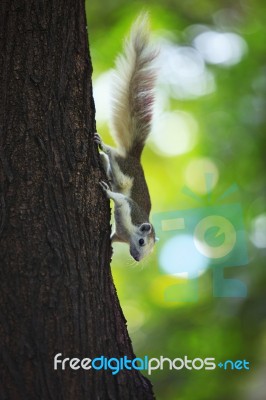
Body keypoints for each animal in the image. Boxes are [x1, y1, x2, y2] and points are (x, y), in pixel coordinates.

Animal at [94, 12, 158, 260]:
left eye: (147, 252)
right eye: (141, 241)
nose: (138, 258)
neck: (128, 232)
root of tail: (135, 159)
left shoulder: (120, 233)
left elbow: (113, 237)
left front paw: (110, 249)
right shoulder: (129, 208)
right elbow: (119, 199)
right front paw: (105, 192)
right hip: (126, 171)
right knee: (117, 164)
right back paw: (103, 147)